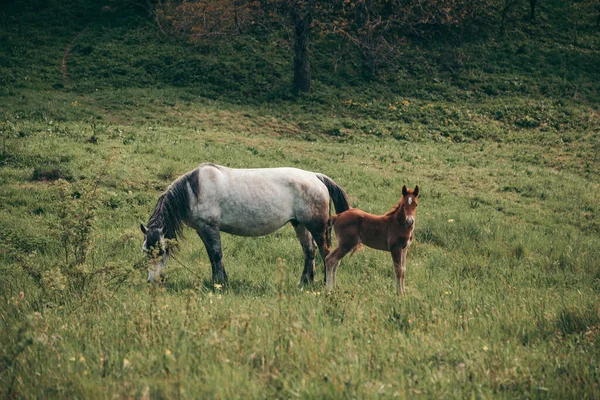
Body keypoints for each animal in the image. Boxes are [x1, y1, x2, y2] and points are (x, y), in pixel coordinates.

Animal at [140, 162, 350, 284]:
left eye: (161, 251)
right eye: (145, 250)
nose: (152, 281)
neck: (194, 189)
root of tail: (316, 177)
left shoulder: (210, 227)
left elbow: (216, 254)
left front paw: (221, 283)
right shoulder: (202, 229)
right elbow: (212, 256)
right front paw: (217, 281)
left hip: (317, 227)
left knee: (326, 254)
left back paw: (325, 284)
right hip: (300, 225)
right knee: (310, 252)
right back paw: (304, 283)